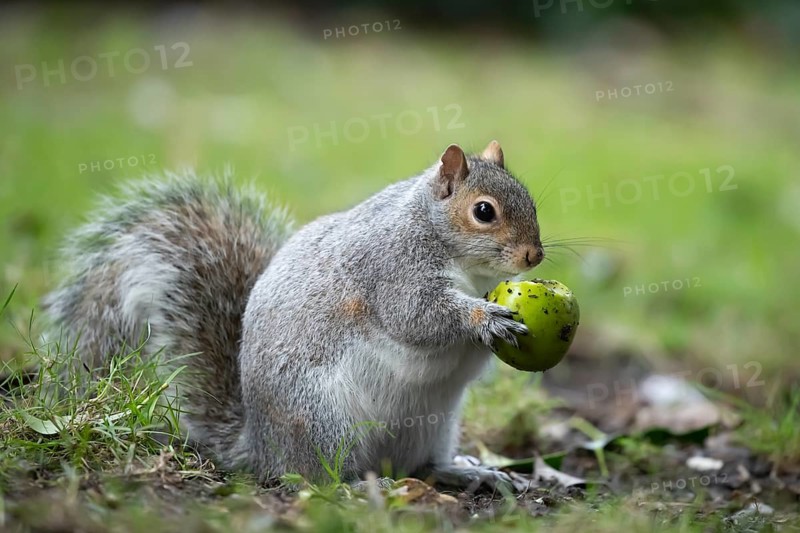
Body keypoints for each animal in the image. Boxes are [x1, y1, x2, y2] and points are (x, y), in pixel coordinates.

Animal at [43, 141, 544, 491]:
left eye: (532, 202)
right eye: (484, 211)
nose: (534, 256)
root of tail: (260, 448)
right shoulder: (394, 268)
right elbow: (419, 316)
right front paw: (485, 319)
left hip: (434, 425)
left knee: (423, 465)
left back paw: (469, 473)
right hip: (325, 419)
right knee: (316, 476)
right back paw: (363, 485)